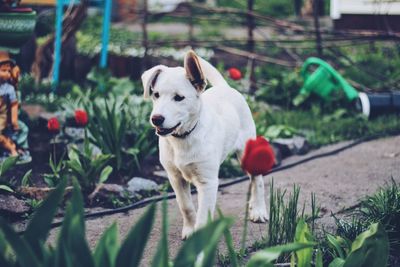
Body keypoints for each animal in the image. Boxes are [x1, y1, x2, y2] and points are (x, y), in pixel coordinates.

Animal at [142, 50, 268, 241]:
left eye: (179, 98)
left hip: (246, 152)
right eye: (156, 95)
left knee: (257, 180)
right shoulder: (175, 178)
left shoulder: (208, 183)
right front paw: (189, 229)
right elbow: (186, 206)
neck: (183, 137)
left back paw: (259, 210)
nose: (156, 118)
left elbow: (202, 216)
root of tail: (225, 87)